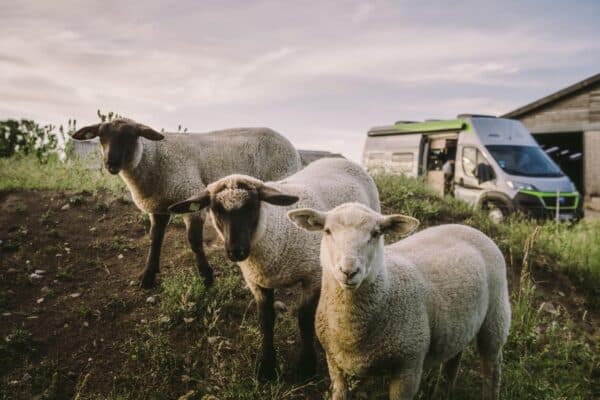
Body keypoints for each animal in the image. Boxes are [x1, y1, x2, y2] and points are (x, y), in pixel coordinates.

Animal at [72, 117, 302, 290]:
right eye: (101, 136)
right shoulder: (158, 207)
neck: (154, 159)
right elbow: (155, 240)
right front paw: (148, 277)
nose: (110, 163)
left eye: (131, 136)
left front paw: (207, 277)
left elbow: (194, 241)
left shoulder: (190, 194)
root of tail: (289, 144)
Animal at [166, 159, 380, 382]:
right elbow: (266, 320)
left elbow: (304, 319)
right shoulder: (257, 281)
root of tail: (339, 159)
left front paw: (306, 365)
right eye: (216, 209)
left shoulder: (312, 276)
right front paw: (267, 366)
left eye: (252, 206)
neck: (276, 231)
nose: (236, 251)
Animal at [288, 203, 508, 400]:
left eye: (376, 233)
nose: (349, 271)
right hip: (459, 324)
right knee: (454, 357)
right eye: (327, 231)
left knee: (492, 369)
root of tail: (469, 228)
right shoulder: (334, 362)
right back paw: (442, 393)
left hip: (496, 316)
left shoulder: (409, 366)